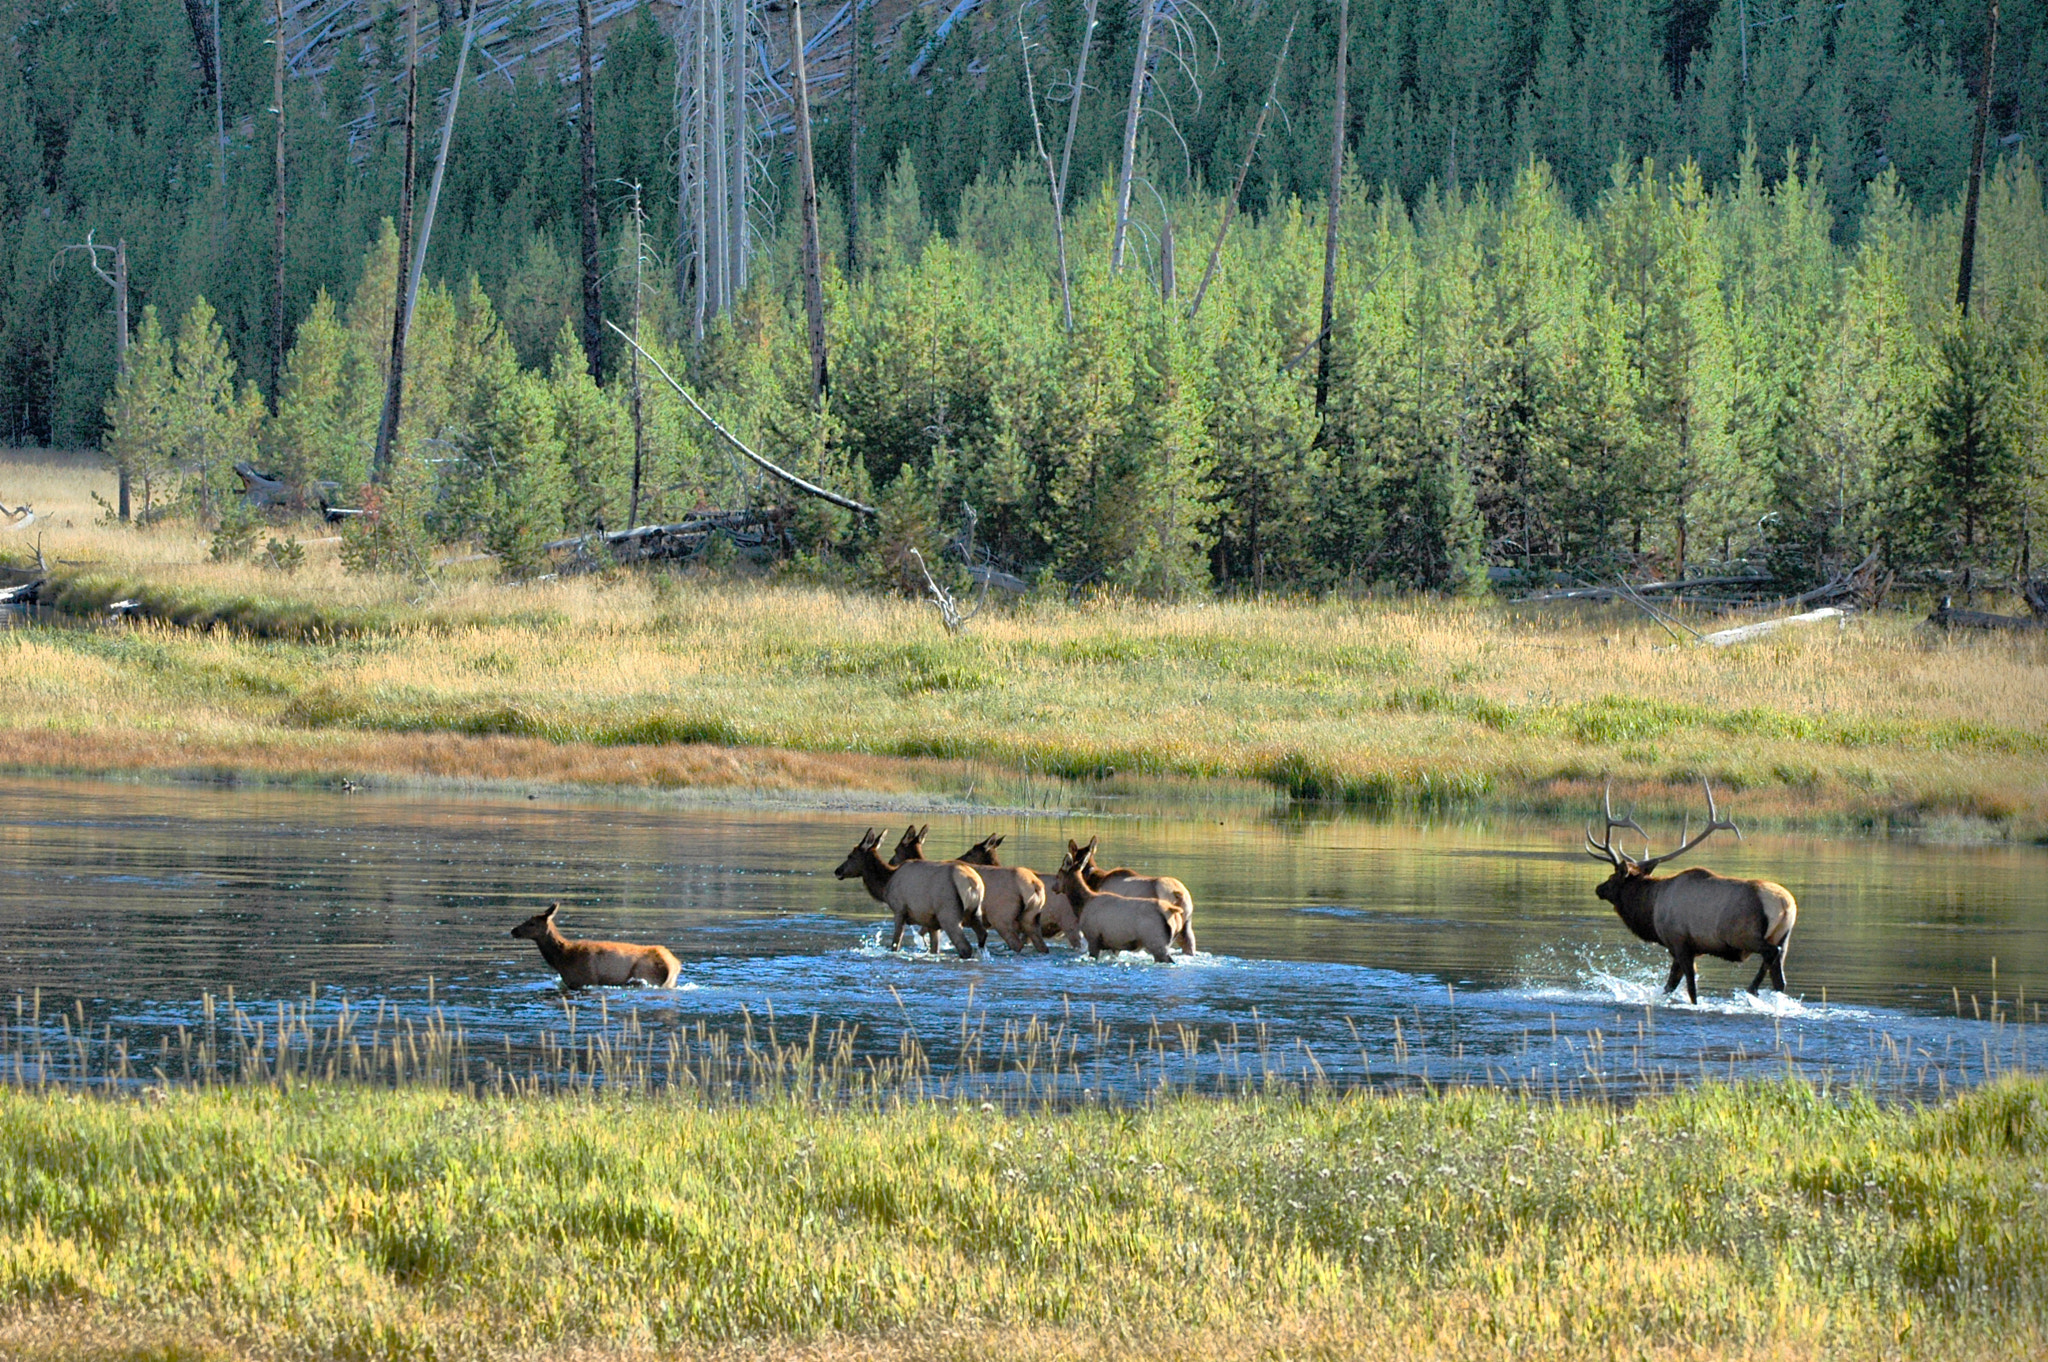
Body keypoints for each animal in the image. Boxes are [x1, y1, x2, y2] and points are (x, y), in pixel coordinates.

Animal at [507, 901, 684, 987]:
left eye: (531, 923)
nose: (513, 930)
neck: (561, 959)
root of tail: (675, 963)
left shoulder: (585, 980)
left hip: (647, 975)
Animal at [835, 827, 987, 954]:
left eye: (850, 856)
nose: (838, 871)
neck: (885, 885)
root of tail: (973, 883)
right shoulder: (931, 921)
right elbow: (934, 949)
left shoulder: (899, 910)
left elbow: (895, 945)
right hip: (975, 913)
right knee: (982, 936)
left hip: (949, 914)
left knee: (965, 948)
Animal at [1581, 774, 1794, 999]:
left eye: (1613, 876)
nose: (1599, 888)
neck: (1652, 907)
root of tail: (1785, 904)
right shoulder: (1688, 948)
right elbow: (1671, 986)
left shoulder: (1679, 942)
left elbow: (1689, 987)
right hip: (1784, 937)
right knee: (1779, 979)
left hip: (1746, 935)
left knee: (1770, 954)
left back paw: (1751, 989)